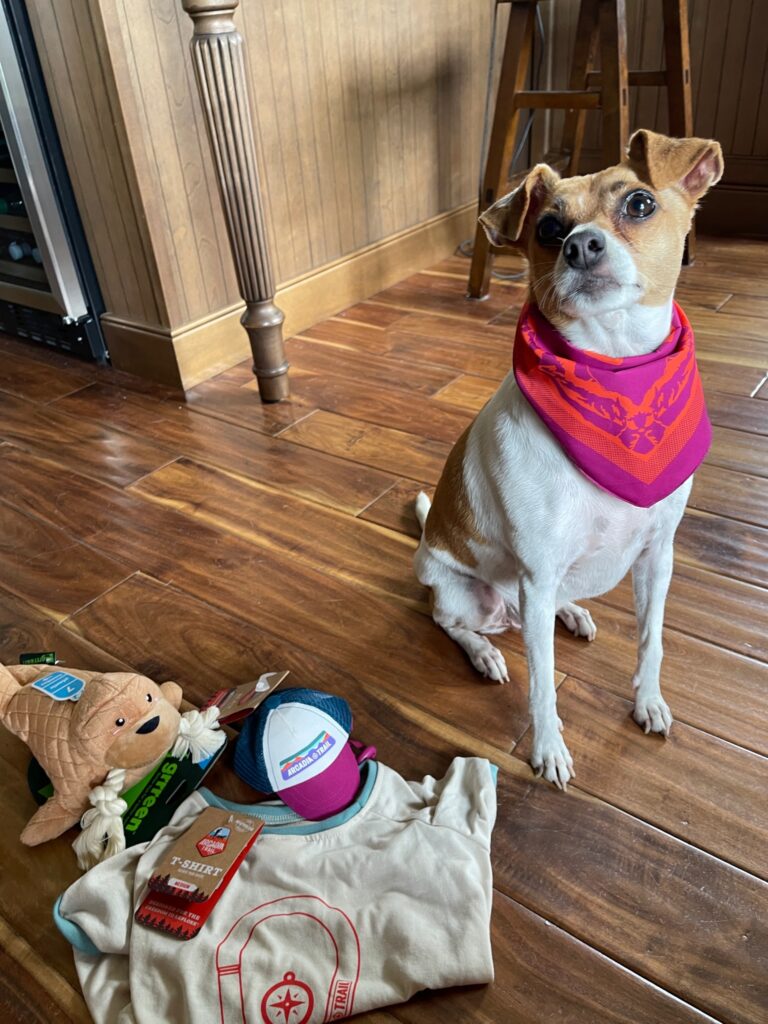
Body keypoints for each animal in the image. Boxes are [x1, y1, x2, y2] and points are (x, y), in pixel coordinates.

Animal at [415, 130, 720, 790]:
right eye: (549, 229)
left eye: (639, 203)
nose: (580, 244)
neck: (615, 371)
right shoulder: (536, 571)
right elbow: (542, 691)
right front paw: (548, 750)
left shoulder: (657, 556)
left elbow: (651, 640)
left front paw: (648, 702)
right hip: (468, 595)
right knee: (450, 623)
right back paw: (486, 653)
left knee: (548, 609)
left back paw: (573, 612)